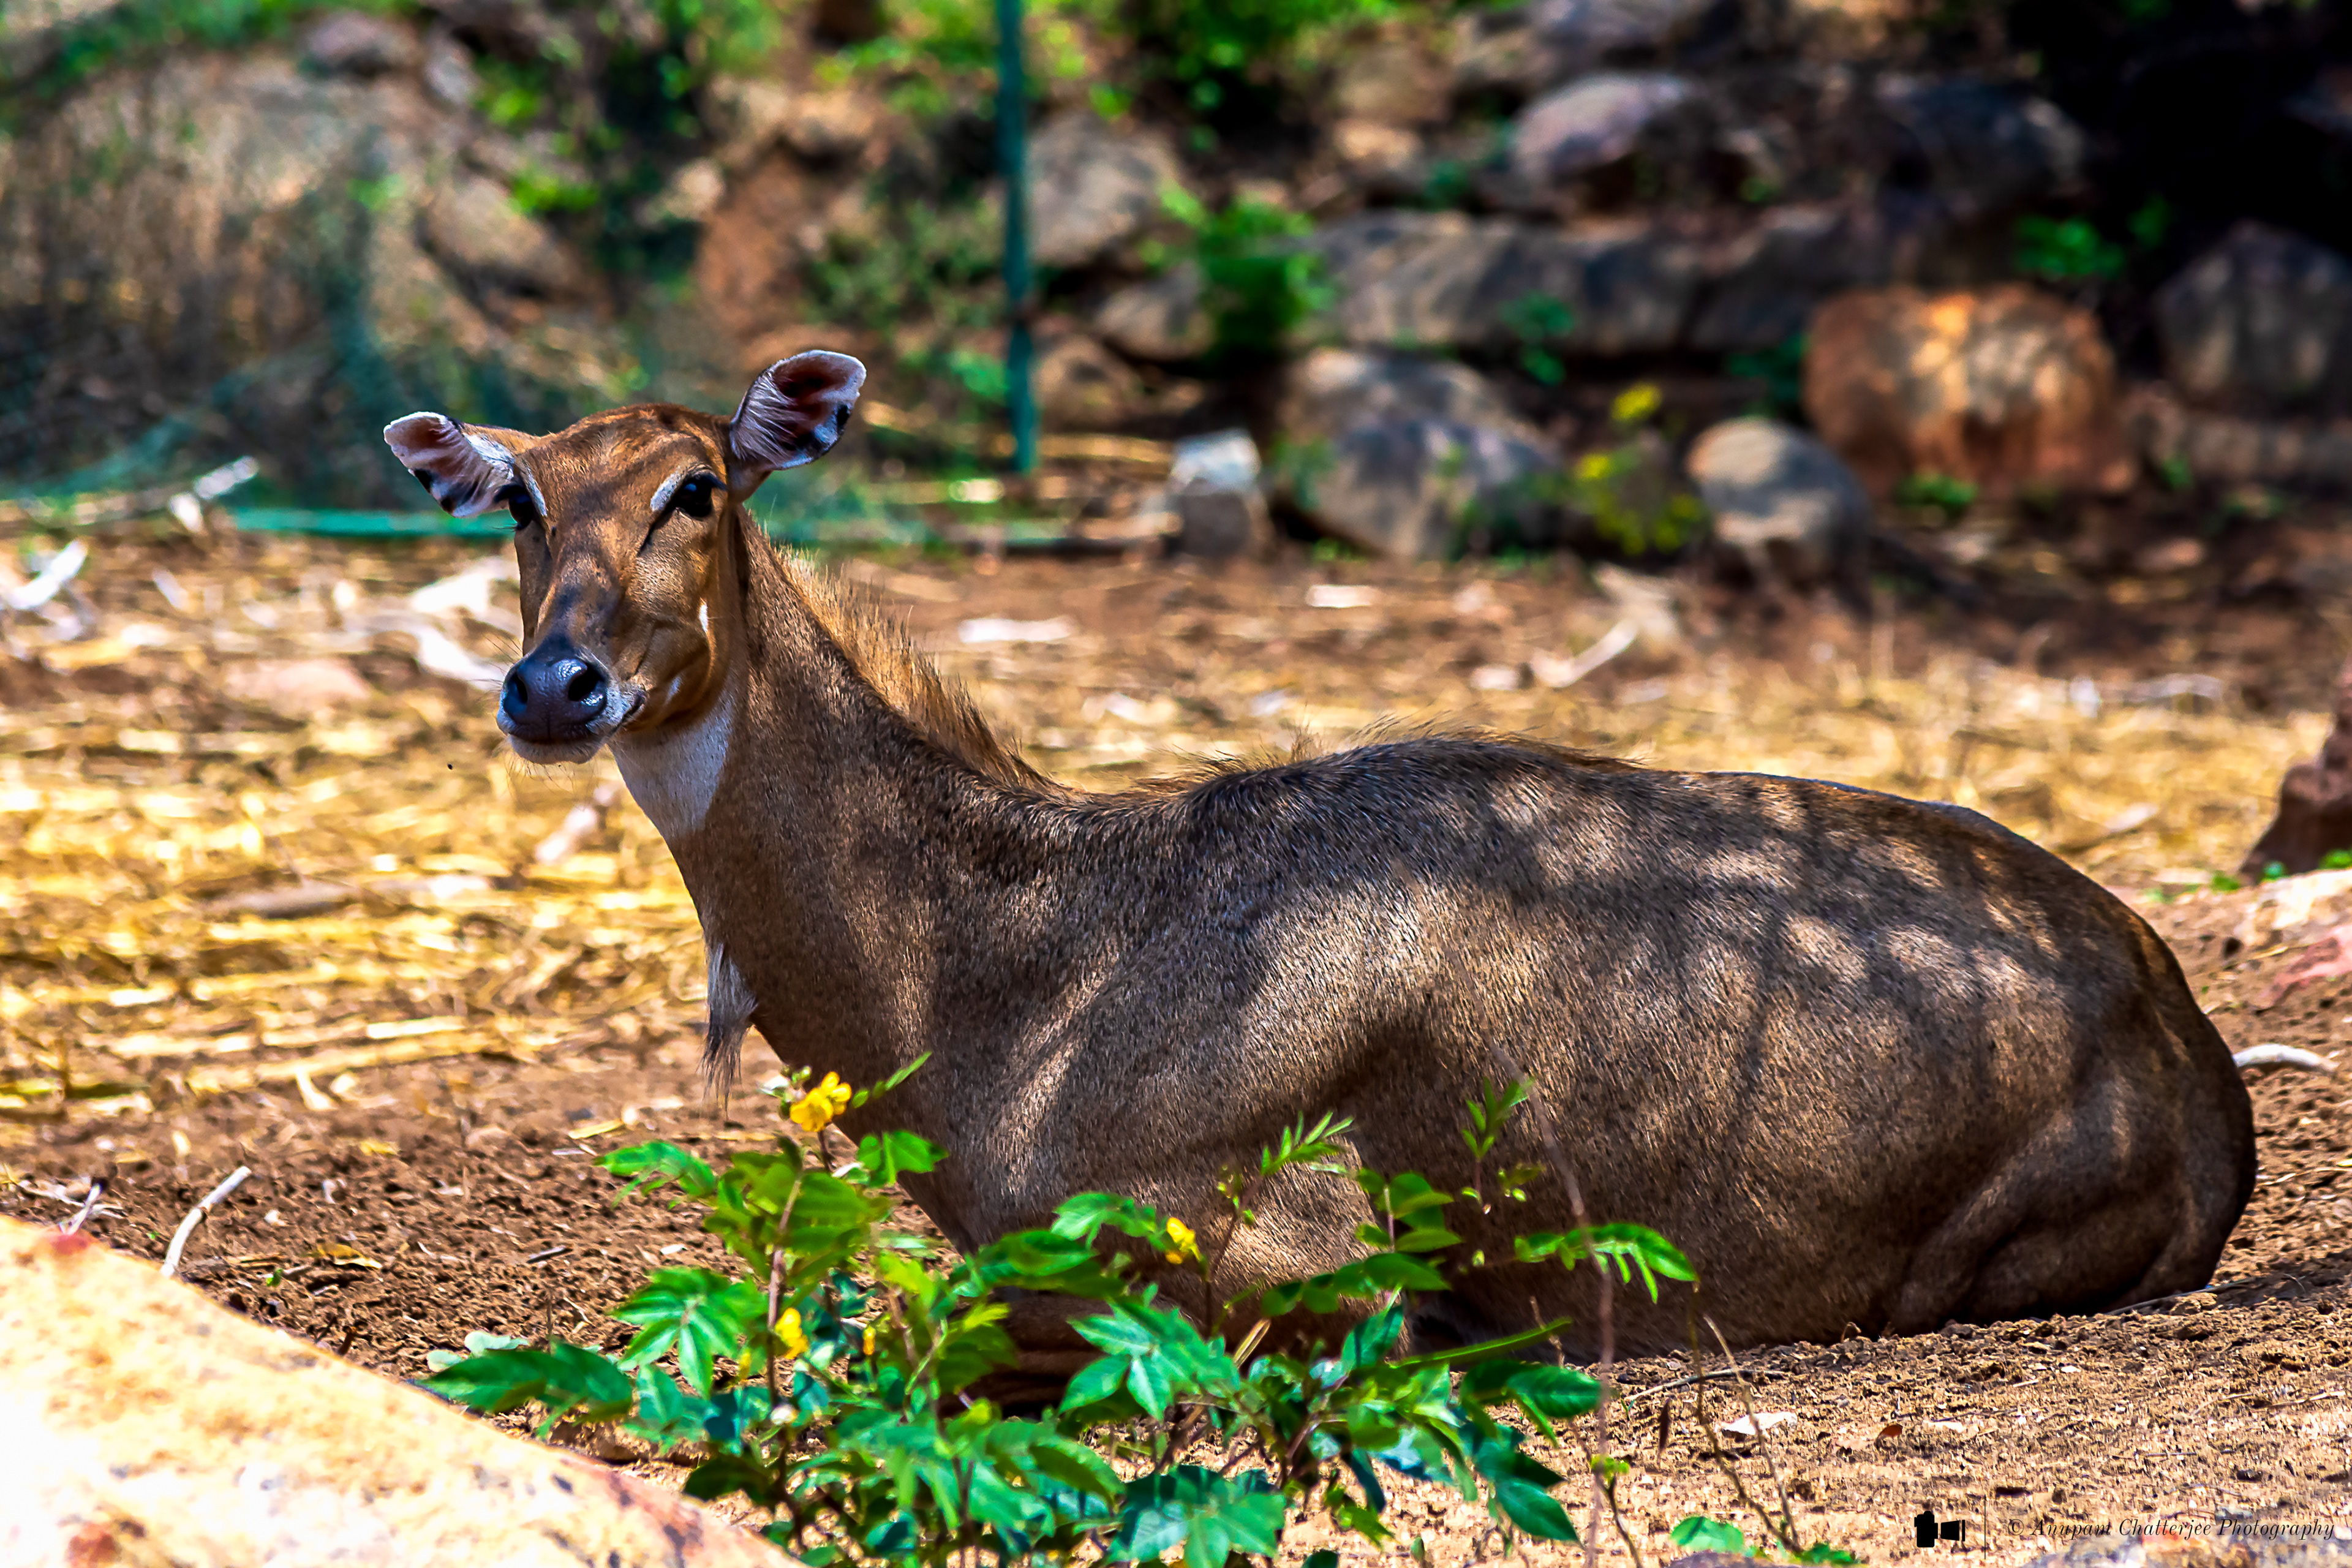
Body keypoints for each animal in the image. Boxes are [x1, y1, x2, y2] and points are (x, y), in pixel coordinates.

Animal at [384, 351, 2255, 1362]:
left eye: (696, 487)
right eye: (516, 500)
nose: (554, 684)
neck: (993, 987)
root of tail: (2196, 1053)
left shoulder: (1304, 1259)